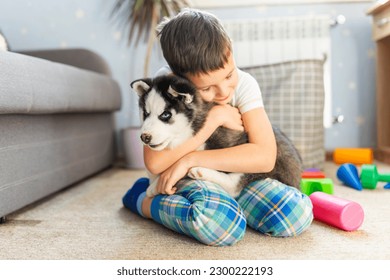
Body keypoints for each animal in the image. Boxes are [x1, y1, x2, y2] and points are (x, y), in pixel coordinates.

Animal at [131, 74, 302, 197]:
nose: (144, 137)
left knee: (234, 185)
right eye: (145, 113)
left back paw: (200, 171)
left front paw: (155, 185)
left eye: (165, 114)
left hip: (268, 158)